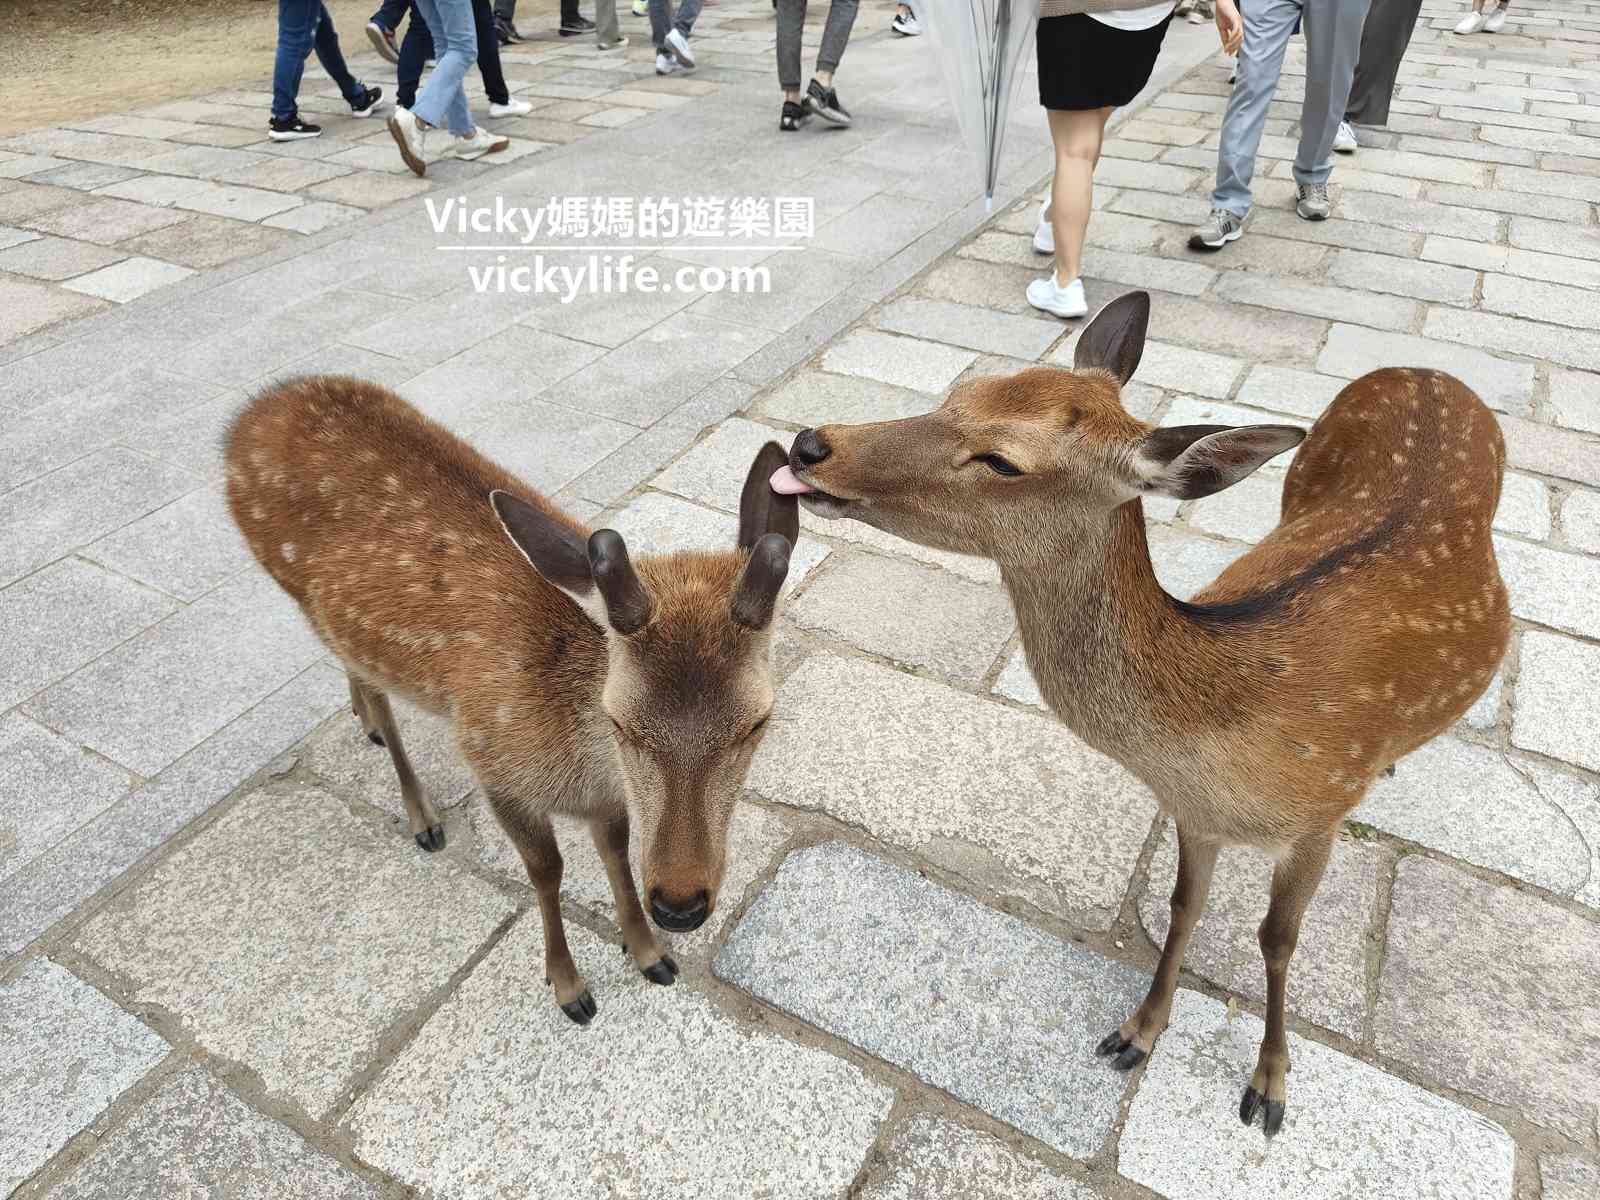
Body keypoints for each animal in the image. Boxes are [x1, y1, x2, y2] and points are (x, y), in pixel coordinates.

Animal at [225, 374, 800, 1024]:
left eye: (757, 722)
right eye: (620, 722)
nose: (679, 905)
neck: (581, 764)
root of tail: (252, 413)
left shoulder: (606, 802)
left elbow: (615, 851)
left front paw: (648, 952)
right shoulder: (493, 761)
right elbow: (546, 872)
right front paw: (570, 987)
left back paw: (363, 717)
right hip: (290, 585)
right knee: (378, 694)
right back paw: (418, 810)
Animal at [774, 291, 1510, 1139]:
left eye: (1002, 460)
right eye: (963, 392)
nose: (810, 444)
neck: (1223, 732)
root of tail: (1426, 368)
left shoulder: (1318, 818)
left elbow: (1278, 939)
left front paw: (1270, 1085)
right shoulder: (1193, 813)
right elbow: (1182, 908)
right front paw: (1137, 1032)